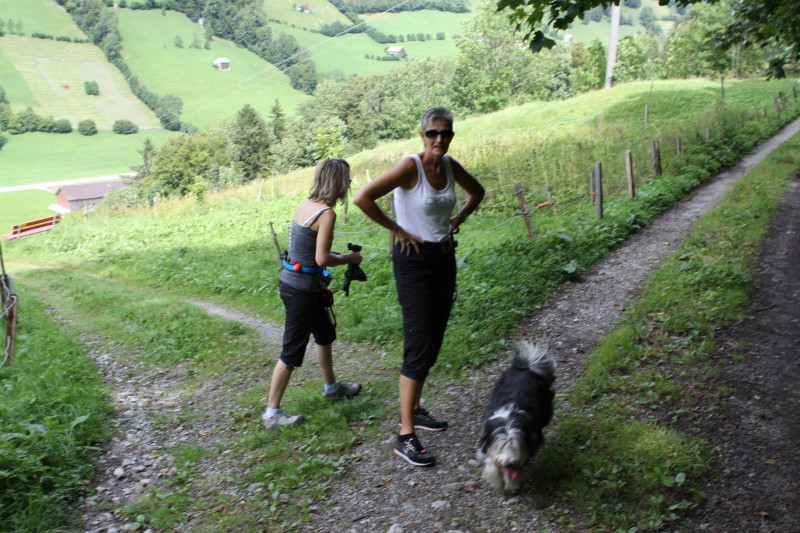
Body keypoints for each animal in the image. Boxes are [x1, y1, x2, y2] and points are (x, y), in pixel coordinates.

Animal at [477, 342, 556, 491]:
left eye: (514, 446)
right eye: (501, 446)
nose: (508, 464)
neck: (508, 417)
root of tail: (528, 368)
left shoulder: (529, 441)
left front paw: (511, 484)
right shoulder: (488, 437)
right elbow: (490, 460)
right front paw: (496, 480)